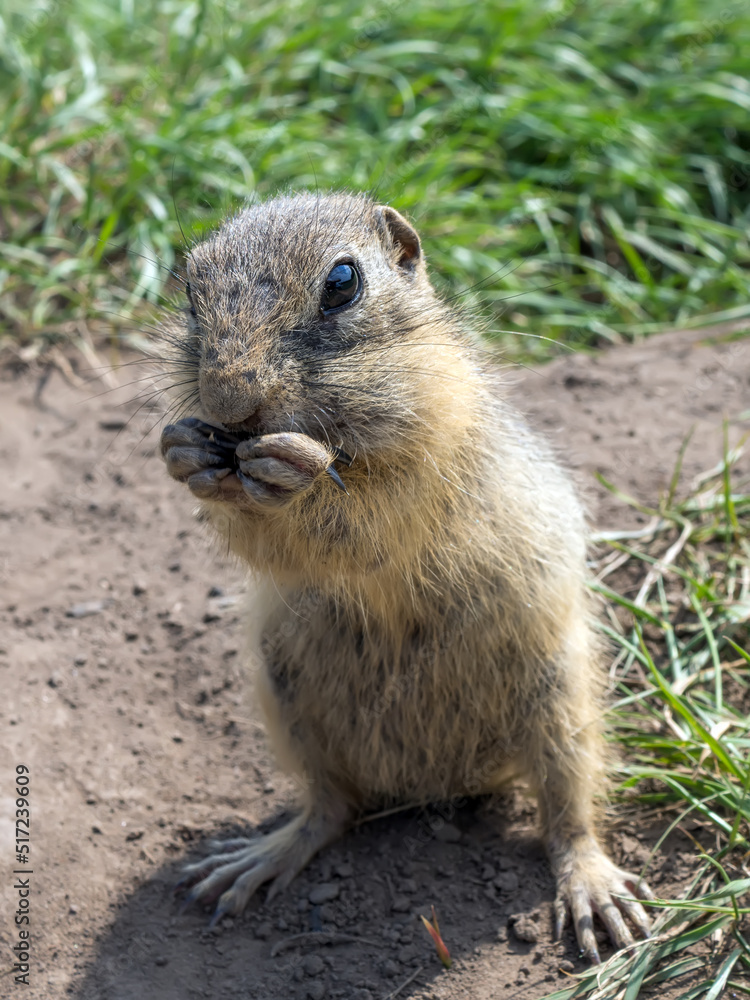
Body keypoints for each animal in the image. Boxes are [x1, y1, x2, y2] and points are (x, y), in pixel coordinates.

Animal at [162, 189, 656, 960]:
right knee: (331, 809)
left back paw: (595, 890)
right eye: (188, 291)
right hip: (288, 700)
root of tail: (430, 782)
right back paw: (259, 858)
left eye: (343, 283)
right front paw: (183, 450)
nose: (229, 404)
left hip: (560, 698)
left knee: (567, 814)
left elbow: (374, 513)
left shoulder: (438, 445)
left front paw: (294, 468)